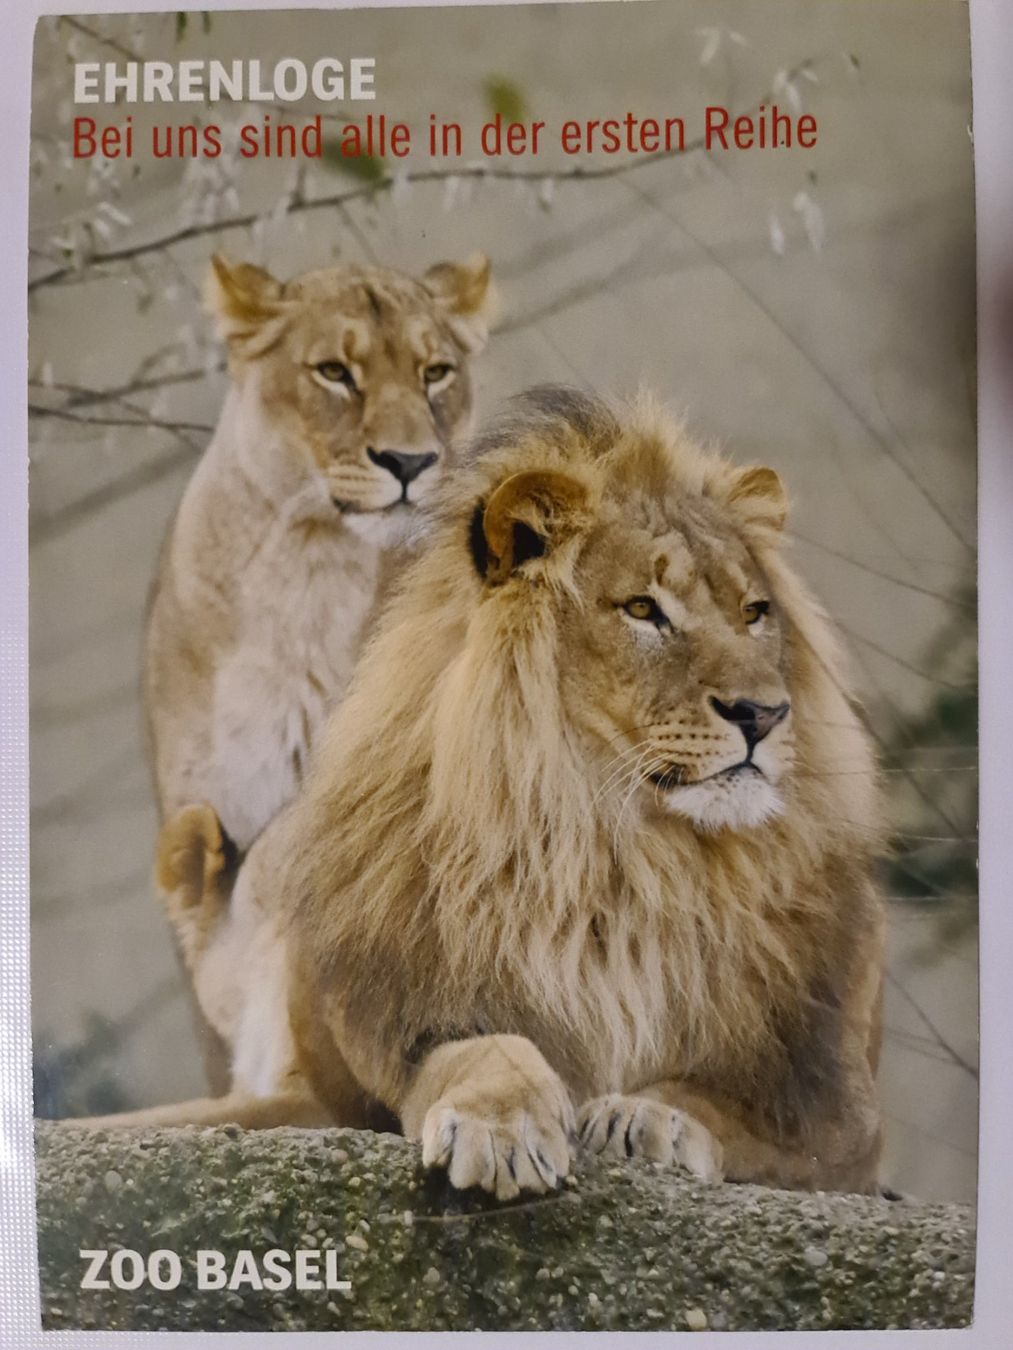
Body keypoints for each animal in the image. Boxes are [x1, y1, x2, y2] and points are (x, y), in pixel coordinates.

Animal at [99, 386, 887, 1200]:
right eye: (643, 609)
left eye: (754, 613)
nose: (763, 714)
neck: (615, 851)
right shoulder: (380, 1048)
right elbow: (481, 1049)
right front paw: (501, 1126)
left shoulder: (842, 1124)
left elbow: (720, 1104)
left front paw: (646, 1119)